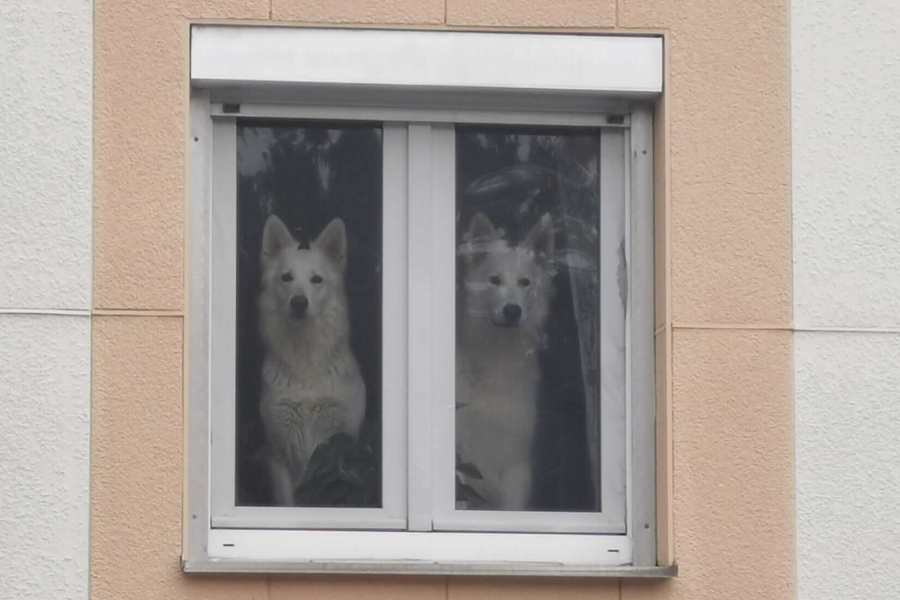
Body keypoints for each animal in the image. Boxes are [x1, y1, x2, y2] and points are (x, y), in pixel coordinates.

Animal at [458, 213, 556, 508]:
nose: (513, 310)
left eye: (525, 282)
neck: (497, 357)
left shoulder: (516, 466)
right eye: (494, 280)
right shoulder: (465, 460)